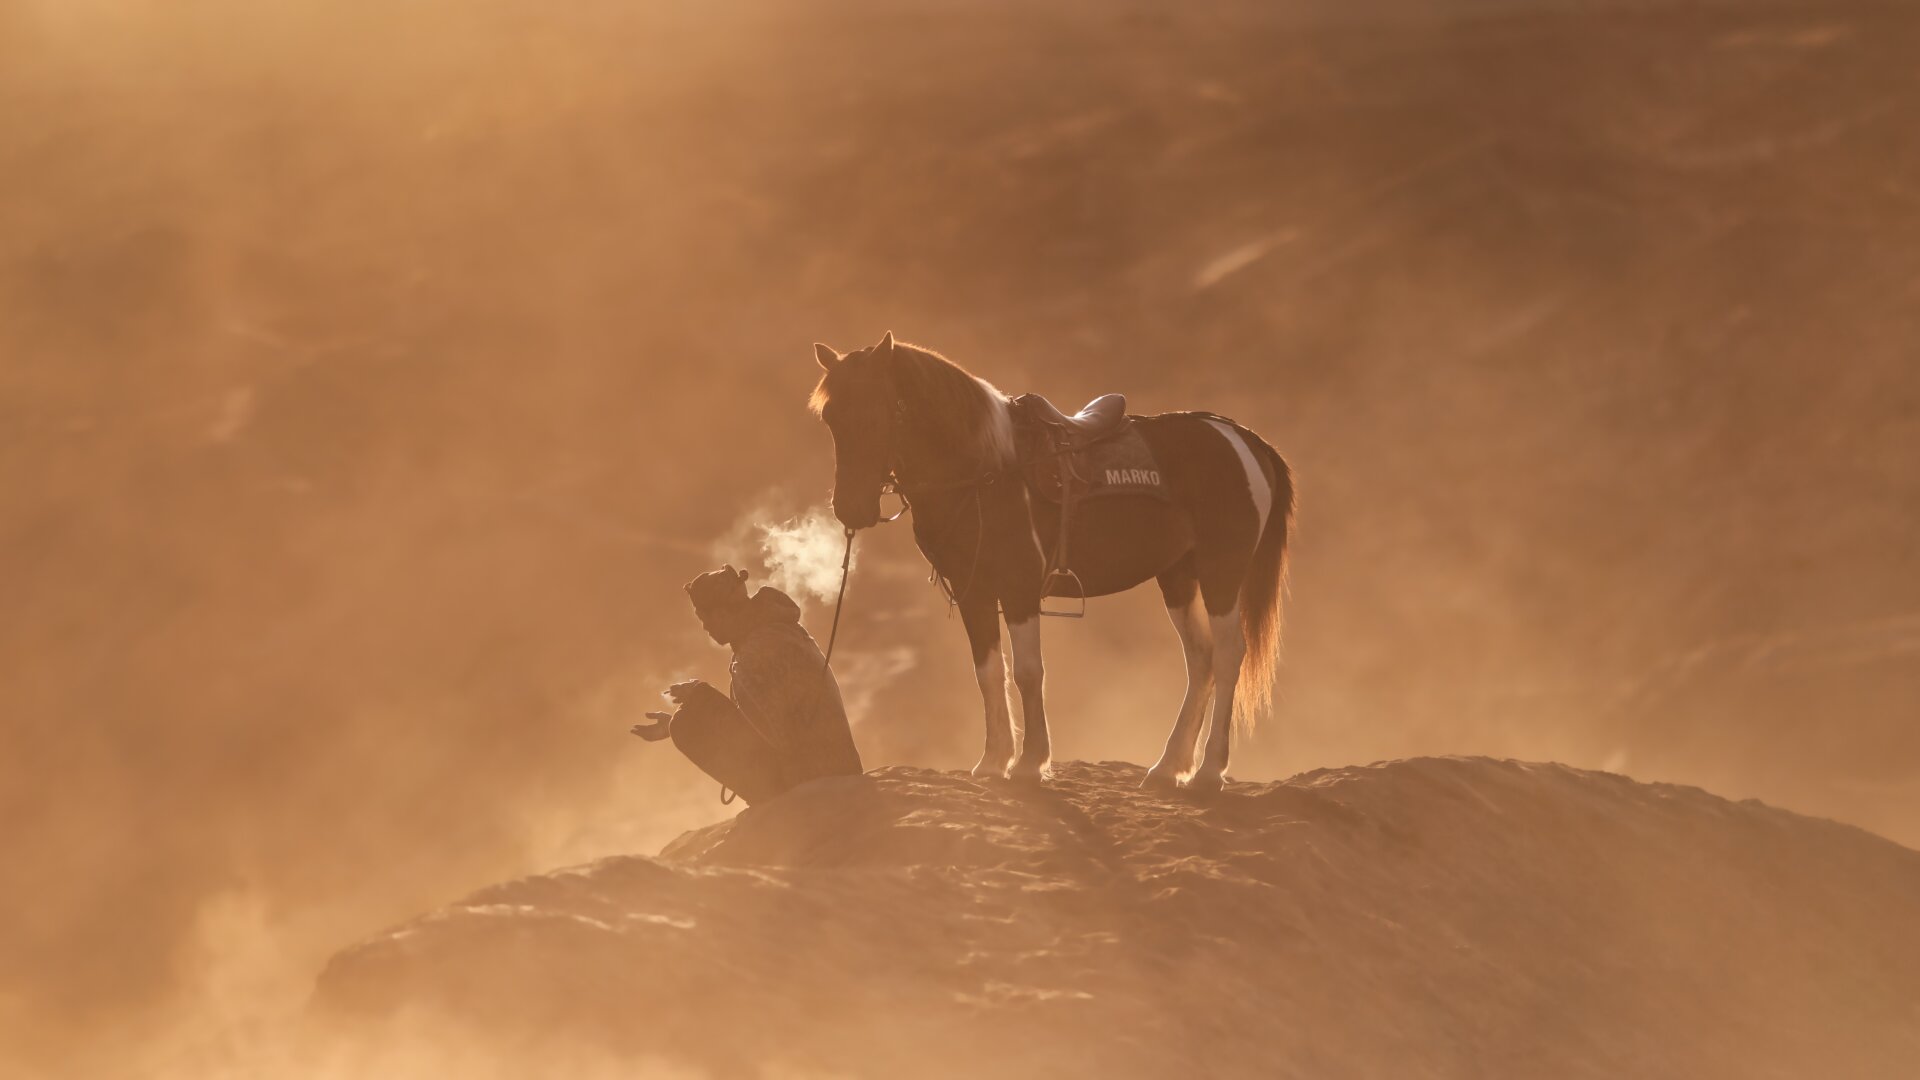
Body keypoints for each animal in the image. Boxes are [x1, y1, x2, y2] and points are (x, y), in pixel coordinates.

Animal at [810, 332, 1295, 791]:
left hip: (1221, 571)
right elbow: (989, 672)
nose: (851, 509)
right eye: (830, 418)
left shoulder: (1019, 587)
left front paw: (1028, 763)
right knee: (1200, 659)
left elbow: (1028, 672)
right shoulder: (974, 590)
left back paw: (1209, 771)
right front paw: (993, 761)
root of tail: (1241, 437)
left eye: (879, 411)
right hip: (1177, 575)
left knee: (1228, 654)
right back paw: (1168, 767)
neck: (986, 469)